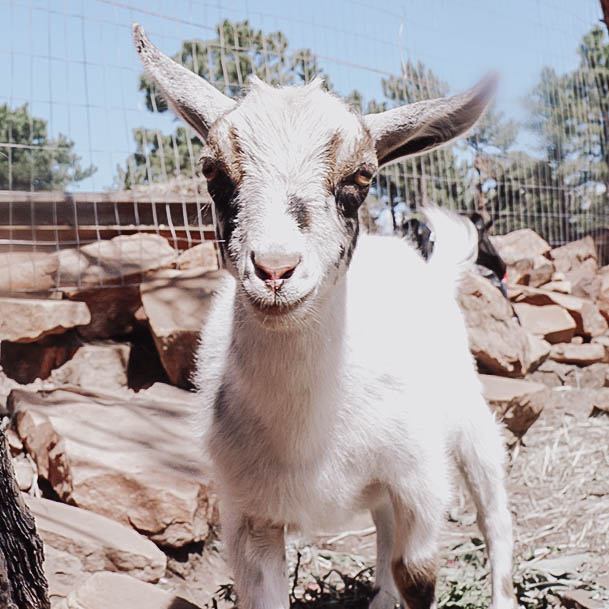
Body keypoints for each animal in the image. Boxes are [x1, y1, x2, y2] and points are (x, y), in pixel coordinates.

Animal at [133, 25, 512, 609]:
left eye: (360, 177)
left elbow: (417, 572)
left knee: (493, 513)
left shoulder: (420, 482)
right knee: (382, 527)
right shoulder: (249, 516)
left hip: (468, 417)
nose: (274, 269)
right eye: (214, 173)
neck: (310, 439)